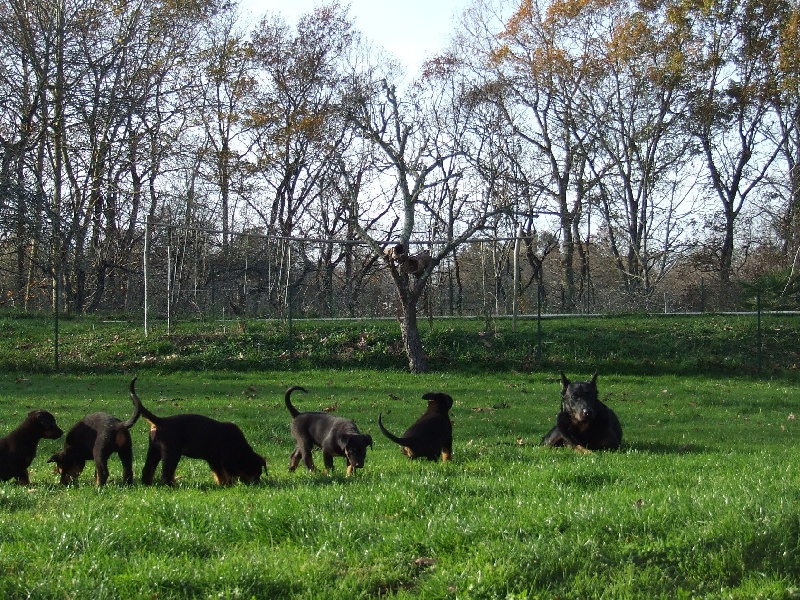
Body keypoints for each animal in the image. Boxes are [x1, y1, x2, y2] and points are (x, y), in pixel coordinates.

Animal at [130, 378, 268, 486]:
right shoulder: (225, 458)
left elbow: (219, 473)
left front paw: (223, 484)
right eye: (257, 472)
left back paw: (147, 484)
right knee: (166, 473)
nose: (257, 483)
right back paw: (171, 485)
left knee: (148, 469)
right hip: (171, 452)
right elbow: (228, 473)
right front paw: (230, 483)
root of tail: (160, 421)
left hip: (154, 450)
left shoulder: (214, 459)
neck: (240, 449)